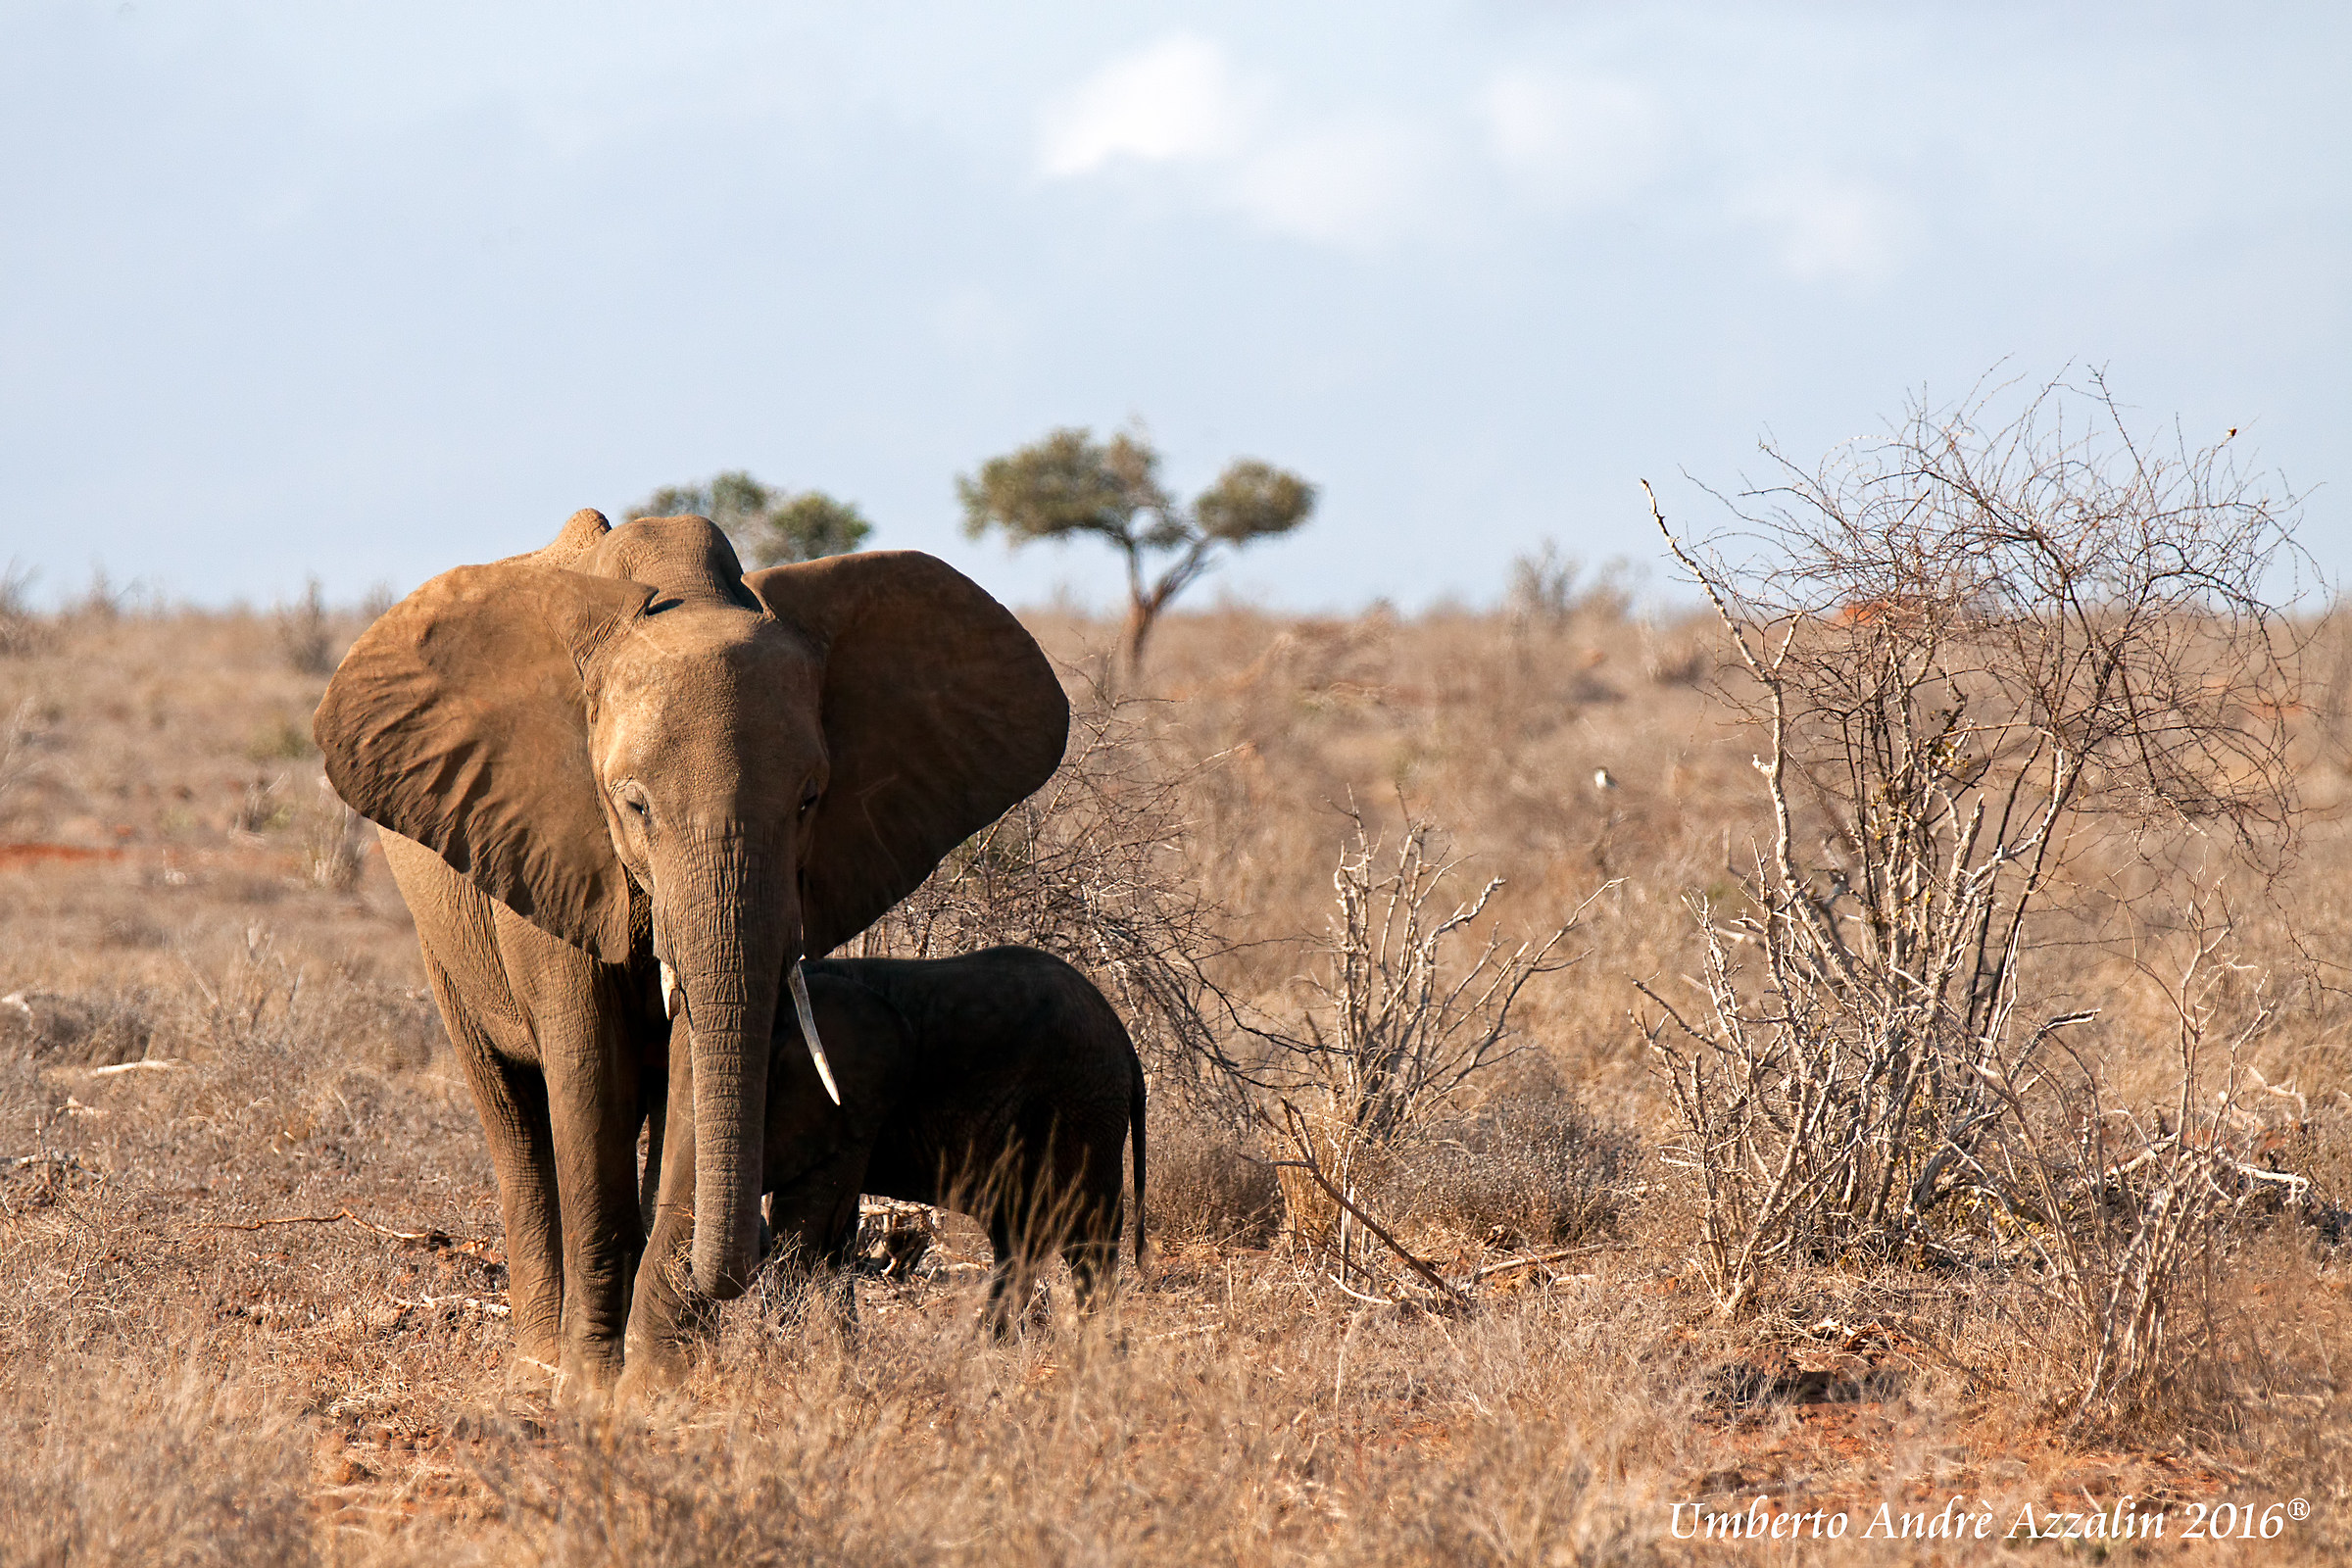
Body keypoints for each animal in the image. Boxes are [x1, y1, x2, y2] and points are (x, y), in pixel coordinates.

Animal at [313, 509, 1068, 1394]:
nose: (759, 1258)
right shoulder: (551, 845)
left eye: (811, 799)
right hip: (446, 933)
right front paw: (590, 1380)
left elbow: (695, 1069)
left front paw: (658, 1381)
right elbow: (587, 1070)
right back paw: (536, 1359)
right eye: (633, 804)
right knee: (513, 1117)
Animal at [675, 946, 1146, 1338]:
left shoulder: (845, 1101)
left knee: (1086, 1238)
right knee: (1018, 1234)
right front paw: (843, 1351)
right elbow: (834, 1233)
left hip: (1081, 1110)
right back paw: (988, 1350)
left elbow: (806, 1223)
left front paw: (783, 1350)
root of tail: (1125, 1042)